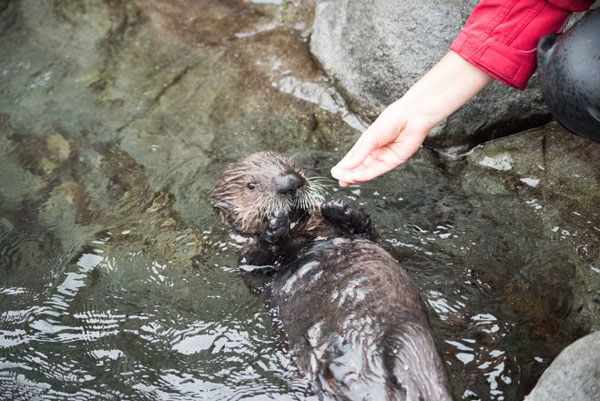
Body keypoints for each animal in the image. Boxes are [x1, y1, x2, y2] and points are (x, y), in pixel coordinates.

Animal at [213, 152, 452, 398]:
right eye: (251, 185)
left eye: (292, 166)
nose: (289, 182)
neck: (304, 236)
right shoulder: (249, 265)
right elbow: (255, 261)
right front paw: (274, 225)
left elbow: (365, 229)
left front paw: (338, 208)